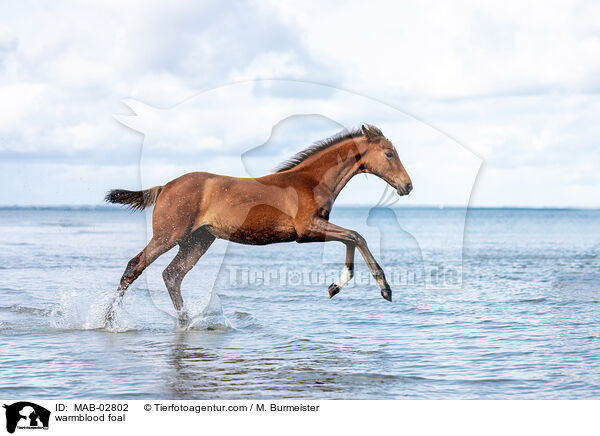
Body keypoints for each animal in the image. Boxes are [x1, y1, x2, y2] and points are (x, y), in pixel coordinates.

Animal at [104, 124, 412, 326]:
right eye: (389, 154)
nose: (407, 186)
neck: (311, 181)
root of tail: (164, 186)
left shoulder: (316, 227)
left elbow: (351, 238)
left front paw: (336, 286)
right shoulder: (307, 229)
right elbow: (357, 236)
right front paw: (384, 288)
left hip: (199, 240)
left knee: (172, 274)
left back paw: (186, 321)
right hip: (168, 235)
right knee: (134, 267)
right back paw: (107, 321)